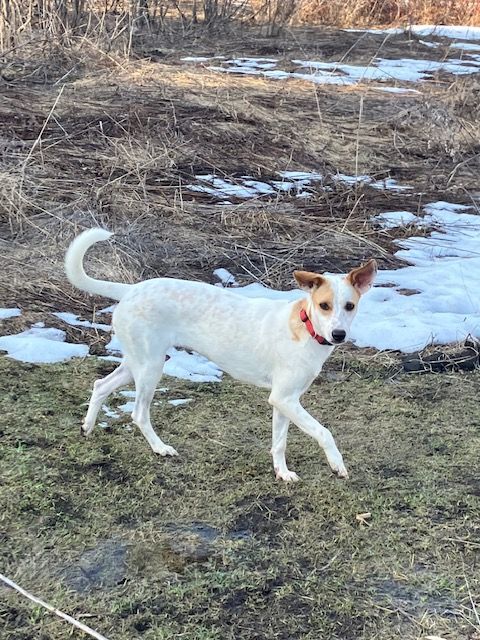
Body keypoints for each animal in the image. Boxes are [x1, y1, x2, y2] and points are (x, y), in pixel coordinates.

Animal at [65, 229, 376, 480]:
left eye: (349, 306)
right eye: (324, 305)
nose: (339, 334)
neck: (305, 326)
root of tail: (130, 289)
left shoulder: (285, 400)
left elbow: (279, 442)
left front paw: (282, 473)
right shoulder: (284, 398)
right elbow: (324, 431)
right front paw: (337, 465)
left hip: (137, 363)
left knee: (101, 385)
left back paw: (87, 427)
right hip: (151, 367)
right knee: (139, 413)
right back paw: (160, 448)